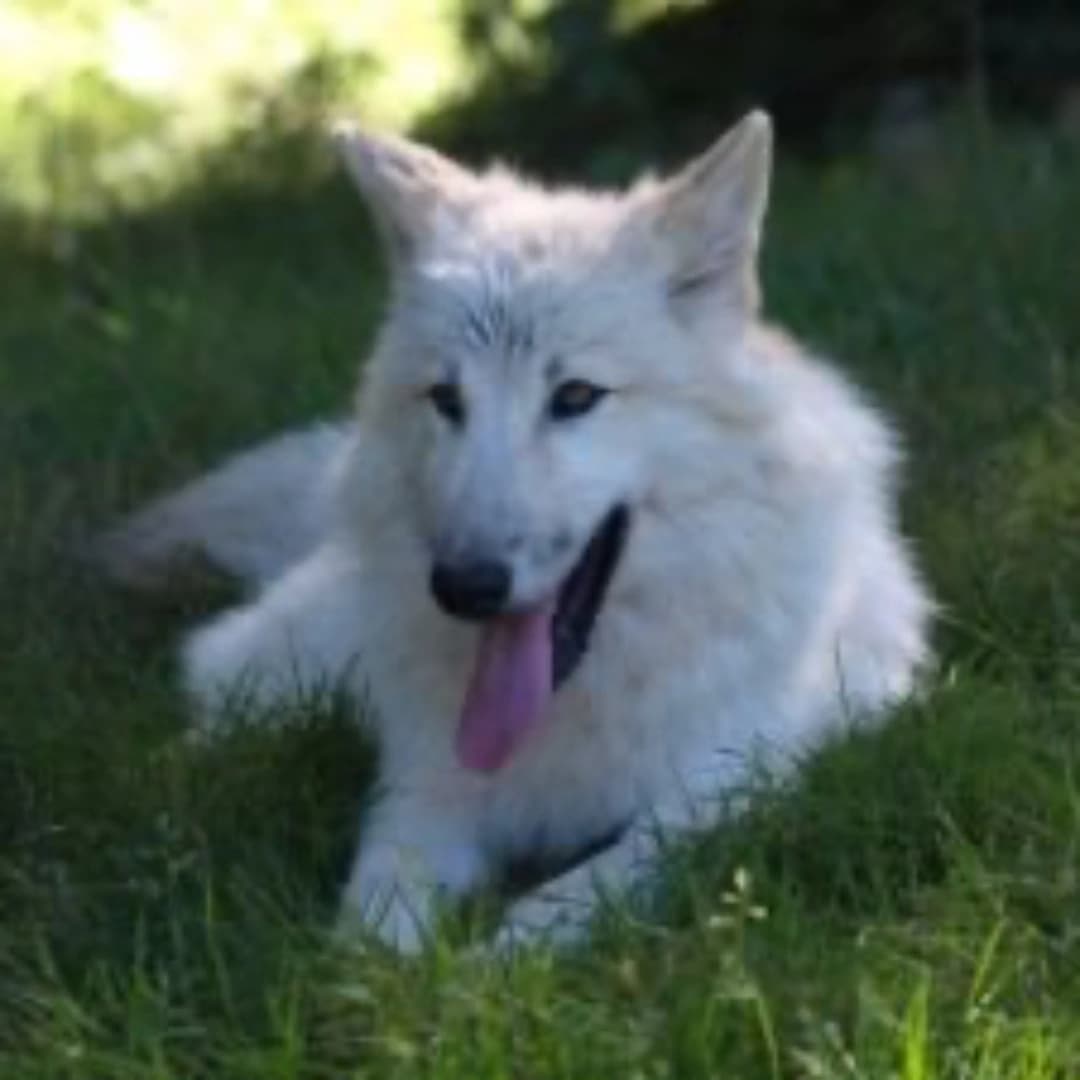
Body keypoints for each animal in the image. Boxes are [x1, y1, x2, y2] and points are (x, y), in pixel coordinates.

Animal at [98, 111, 933, 952]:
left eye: (576, 397)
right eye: (446, 399)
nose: (464, 586)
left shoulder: (727, 787)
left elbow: (572, 897)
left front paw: (479, 973)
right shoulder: (424, 790)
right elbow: (371, 926)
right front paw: (380, 980)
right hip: (300, 671)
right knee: (213, 702)